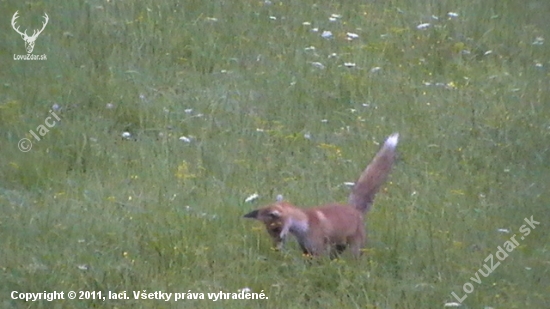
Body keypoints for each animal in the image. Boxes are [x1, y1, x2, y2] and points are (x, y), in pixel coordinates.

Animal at [244, 132, 398, 258]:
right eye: (269, 231)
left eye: (275, 229)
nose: (276, 249)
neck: (304, 226)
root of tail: (353, 209)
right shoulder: (306, 250)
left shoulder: (317, 248)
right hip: (338, 247)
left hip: (354, 247)